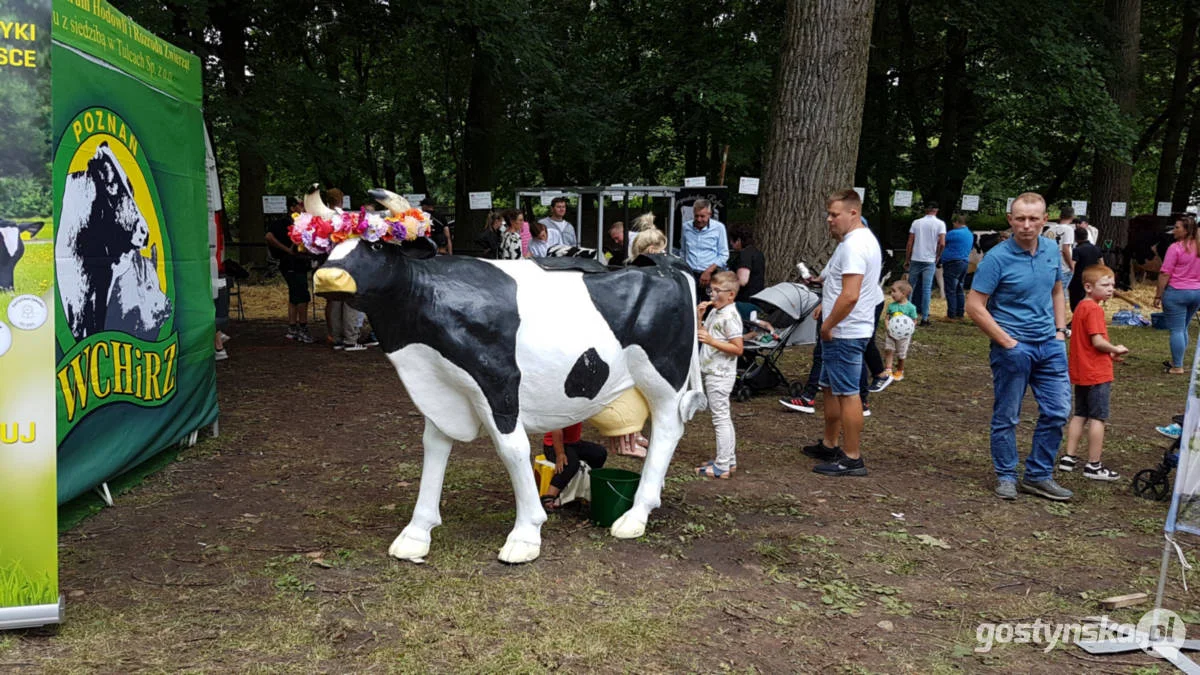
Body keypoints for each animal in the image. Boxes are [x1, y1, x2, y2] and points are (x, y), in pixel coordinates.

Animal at [56, 142, 150, 338]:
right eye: (110, 184)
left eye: (131, 187)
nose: (144, 232)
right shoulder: (74, 291)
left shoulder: (101, 285)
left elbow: (96, 323)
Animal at [314, 186, 705, 559]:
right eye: (328, 247)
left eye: (377, 244)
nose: (327, 276)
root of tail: (664, 265)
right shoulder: (441, 388)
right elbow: (433, 447)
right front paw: (417, 532)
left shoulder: (498, 381)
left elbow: (512, 449)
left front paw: (526, 534)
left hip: (663, 374)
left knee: (668, 428)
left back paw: (636, 514)